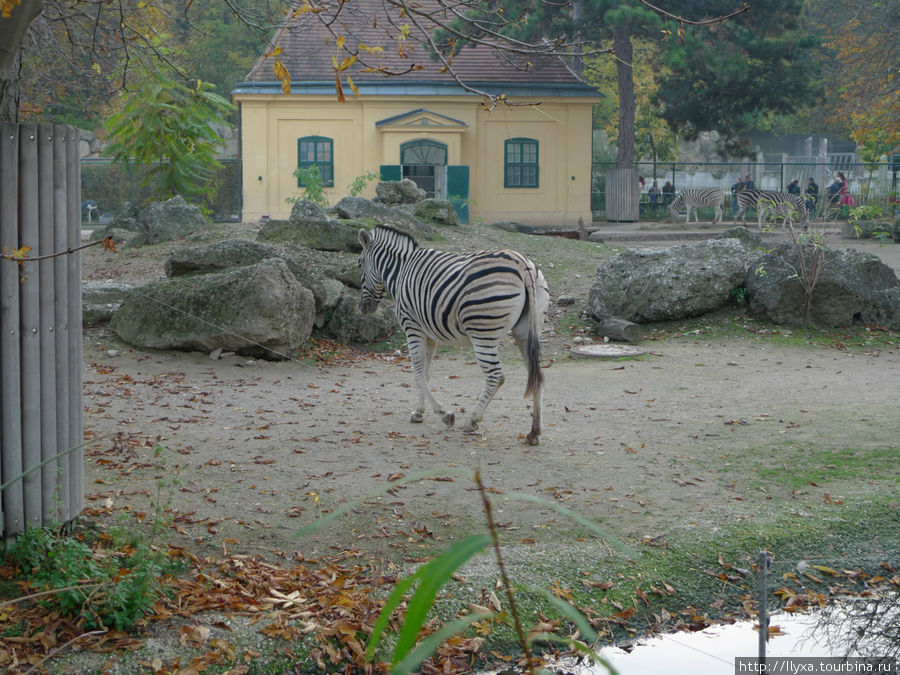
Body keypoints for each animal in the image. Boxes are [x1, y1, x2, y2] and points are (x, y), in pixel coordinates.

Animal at [358, 224, 548, 446]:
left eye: (359, 265)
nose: (362, 309)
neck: (401, 271)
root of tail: (522, 265)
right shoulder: (429, 335)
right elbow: (426, 374)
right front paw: (419, 412)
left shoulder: (412, 327)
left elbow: (417, 374)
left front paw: (444, 414)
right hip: (526, 330)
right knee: (537, 375)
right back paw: (534, 432)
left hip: (483, 332)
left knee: (496, 376)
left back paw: (472, 421)